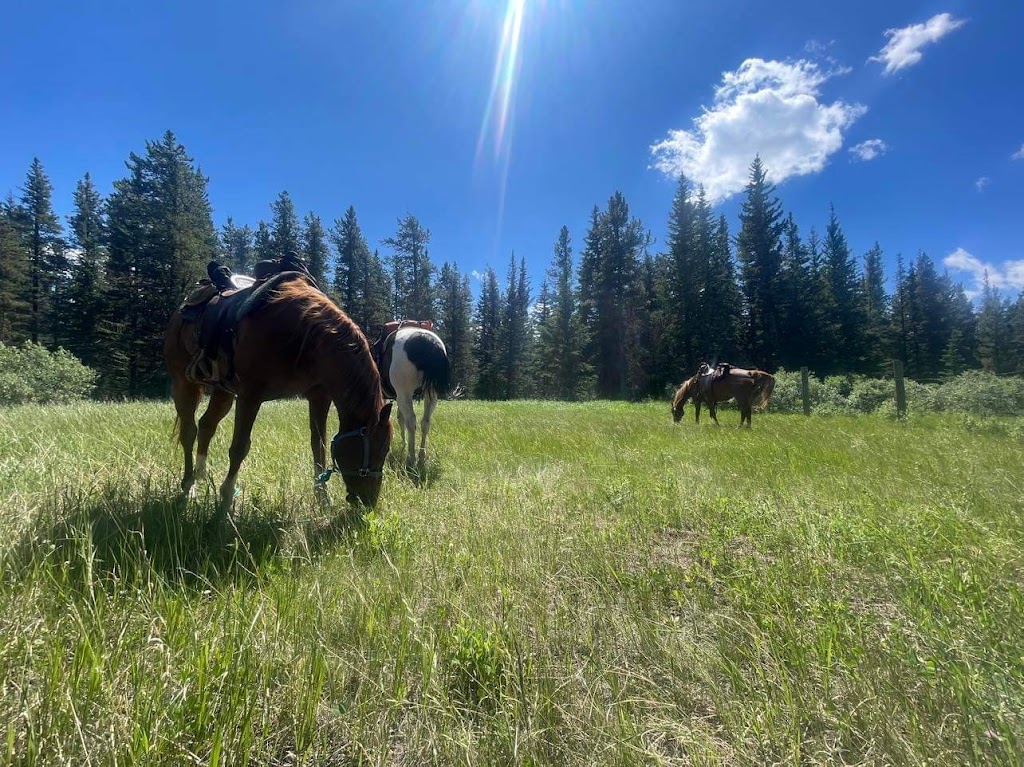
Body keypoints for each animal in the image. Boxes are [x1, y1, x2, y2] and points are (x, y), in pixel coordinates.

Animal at [163, 274, 391, 507]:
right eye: (377, 450)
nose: (368, 501)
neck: (304, 336)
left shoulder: (319, 396)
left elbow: (318, 445)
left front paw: (322, 498)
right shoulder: (249, 396)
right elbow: (239, 447)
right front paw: (226, 499)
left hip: (223, 392)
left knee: (206, 426)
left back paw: (199, 476)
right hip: (183, 383)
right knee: (189, 431)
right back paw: (189, 486)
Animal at [376, 321, 452, 469]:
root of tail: (427, 342)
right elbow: (400, 419)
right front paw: (403, 445)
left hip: (404, 393)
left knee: (411, 421)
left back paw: (411, 458)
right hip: (430, 395)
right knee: (425, 422)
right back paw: (421, 458)